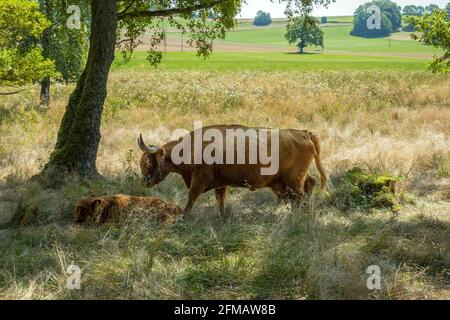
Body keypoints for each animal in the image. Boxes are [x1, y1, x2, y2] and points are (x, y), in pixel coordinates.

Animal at [137, 125, 326, 215]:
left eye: (149, 162)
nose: (144, 182)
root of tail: (303, 133)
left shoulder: (200, 179)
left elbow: (191, 197)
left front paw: (184, 216)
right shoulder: (220, 183)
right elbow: (220, 200)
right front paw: (221, 215)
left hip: (293, 180)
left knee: (300, 195)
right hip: (294, 180)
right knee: (309, 185)